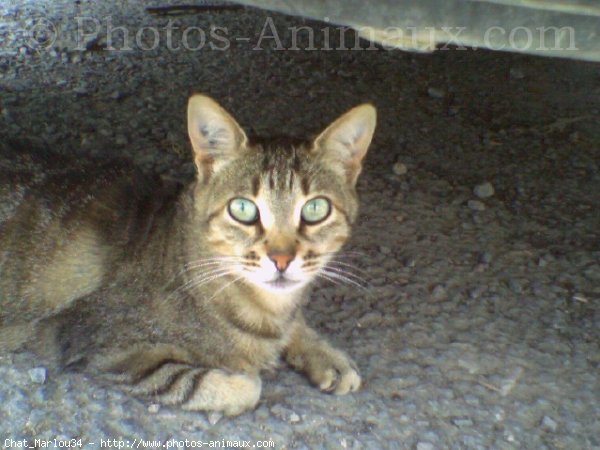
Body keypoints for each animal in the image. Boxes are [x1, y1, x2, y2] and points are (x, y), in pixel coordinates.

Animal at [0, 94, 376, 414]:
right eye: (243, 209)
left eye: (315, 209)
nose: (281, 259)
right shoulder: (103, 347)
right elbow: (237, 385)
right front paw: (245, 369)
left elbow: (295, 327)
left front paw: (325, 355)